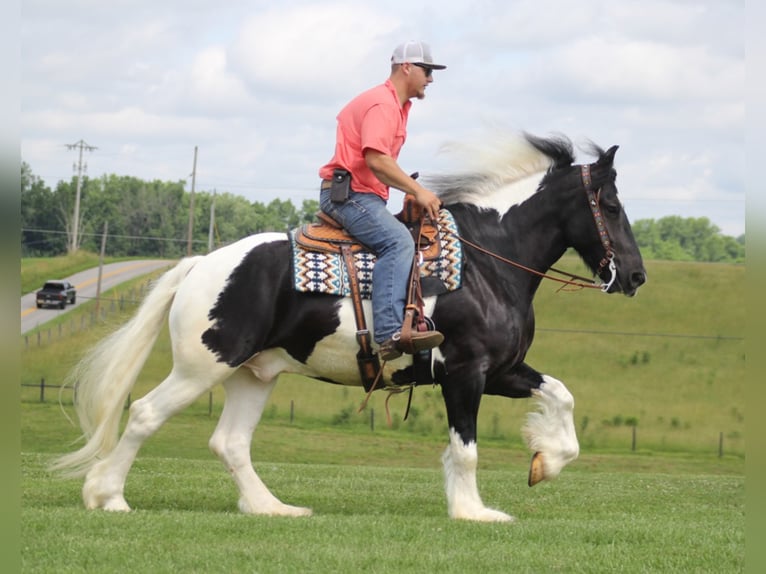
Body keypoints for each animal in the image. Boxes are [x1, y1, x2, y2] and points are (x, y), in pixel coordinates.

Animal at [51, 133, 644, 524]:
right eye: (612, 205)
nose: (636, 275)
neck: (486, 263)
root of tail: (200, 264)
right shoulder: (465, 373)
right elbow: (467, 448)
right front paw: (473, 511)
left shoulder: (502, 370)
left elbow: (562, 396)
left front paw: (545, 461)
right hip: (203, 367)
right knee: (145, 414)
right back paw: (108, 496)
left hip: (253, 374)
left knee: (230, 442)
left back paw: (272, 507)